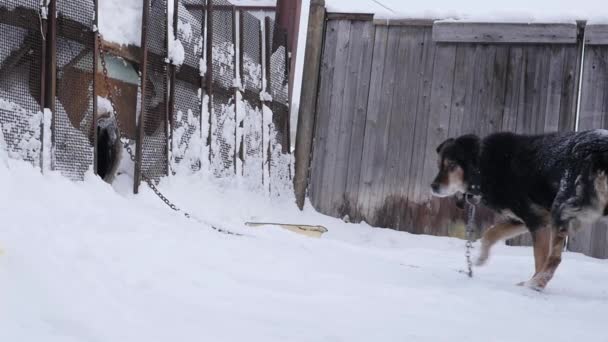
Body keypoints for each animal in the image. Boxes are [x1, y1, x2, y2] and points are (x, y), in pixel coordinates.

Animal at [430, 130, 608, 290]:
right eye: (439, 165)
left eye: (452, 165)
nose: (433, 187)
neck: (483, 165)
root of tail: (600, 151)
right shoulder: (521, 220)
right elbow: (491, 233)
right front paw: (480, 258)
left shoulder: (537, 222)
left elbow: (540, 259)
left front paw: (533, 285)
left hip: (561, 208)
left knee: (554, 259)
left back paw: (535, 283)